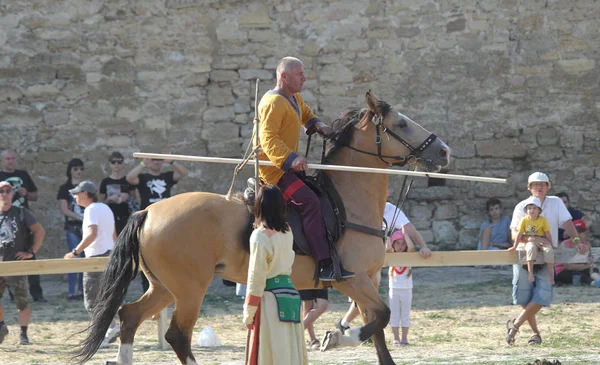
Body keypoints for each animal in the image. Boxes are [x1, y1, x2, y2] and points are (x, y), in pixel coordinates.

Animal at [75, 91, 450, 364]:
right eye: (401, 124)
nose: (444, 151)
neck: (346, 199)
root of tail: (149, 211)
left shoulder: (368, 280)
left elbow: (378, 329)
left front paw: (342, 335)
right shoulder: (352, 279)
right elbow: (382, 316)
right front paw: (336, 338)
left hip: (165, 287)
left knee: (129, 317)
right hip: (190, 289)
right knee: (176, 335)